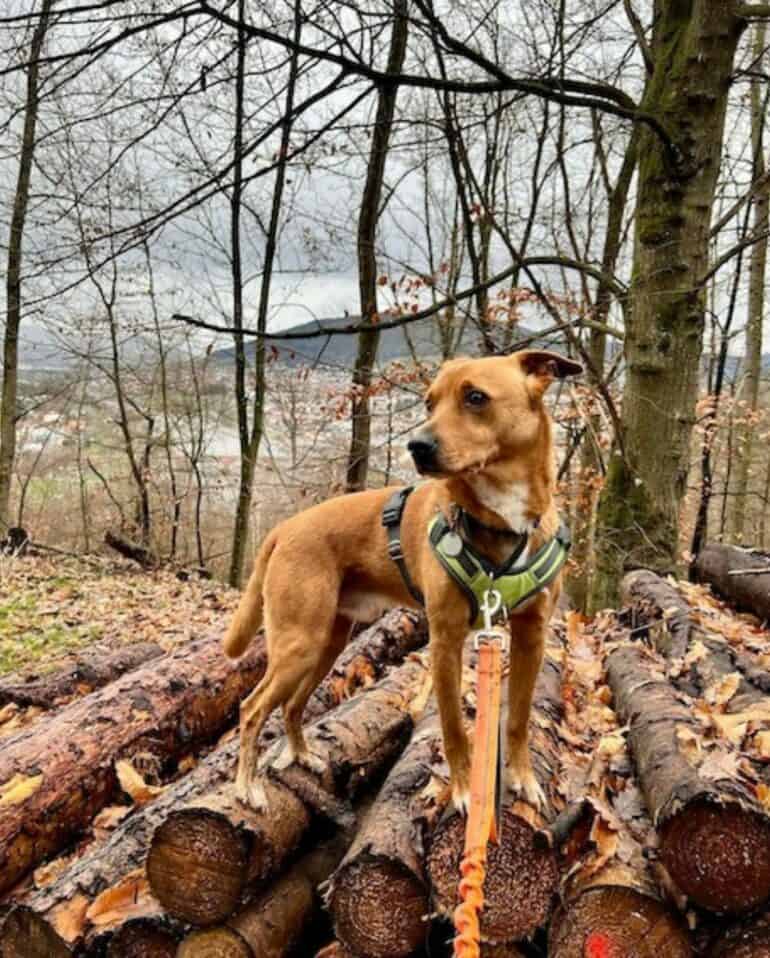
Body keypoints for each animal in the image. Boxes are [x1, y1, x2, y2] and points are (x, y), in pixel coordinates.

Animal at [225, 348, 580, 812]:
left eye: (476, 397)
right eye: (429, 403)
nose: (417, 446)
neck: (503, 523)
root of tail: (284, 528)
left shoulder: (531, 638)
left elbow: (518, 719)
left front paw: (523, 778)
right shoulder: (445, 641)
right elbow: (453, 728)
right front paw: (463, 790)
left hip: (326, 645)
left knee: (291, 706)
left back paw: (301, 755)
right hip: (298, 644)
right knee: (252, 709)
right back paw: (248, 786)